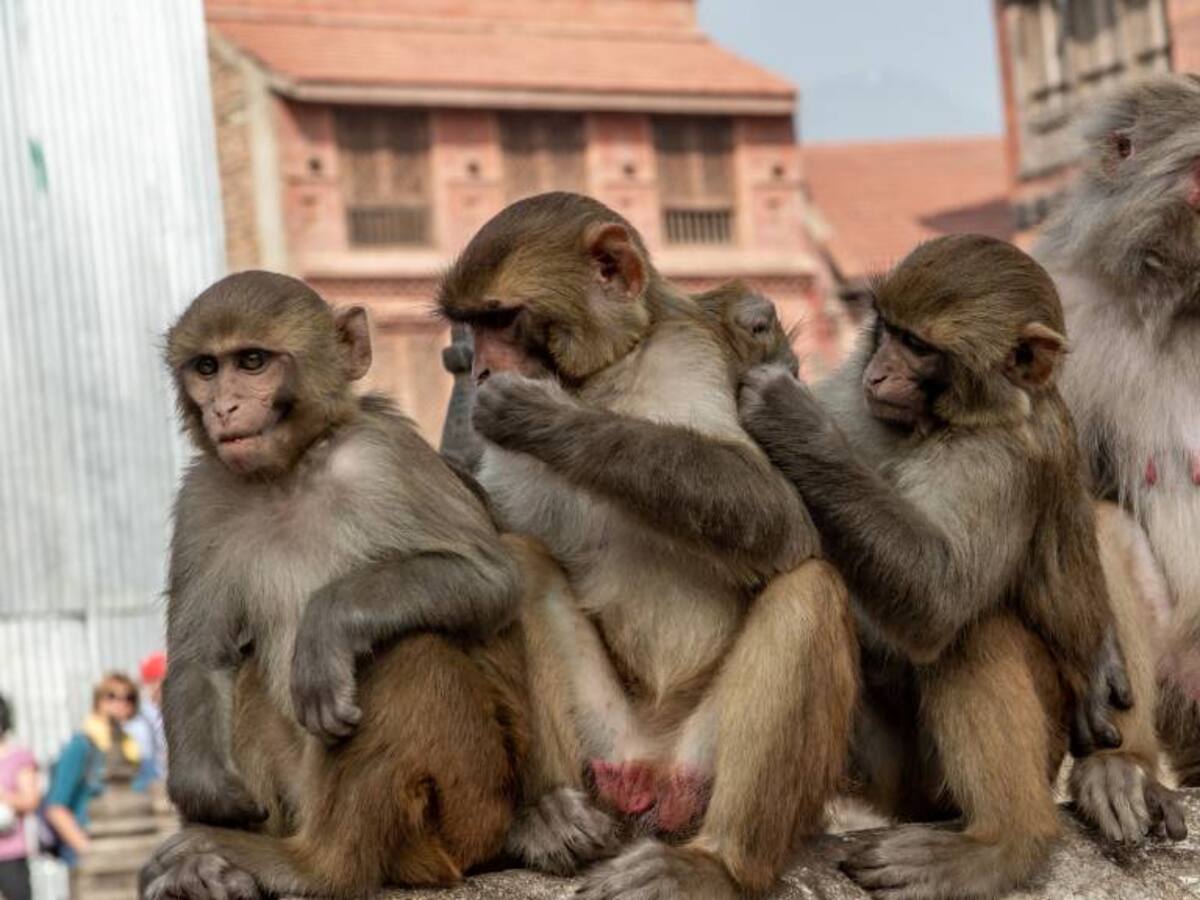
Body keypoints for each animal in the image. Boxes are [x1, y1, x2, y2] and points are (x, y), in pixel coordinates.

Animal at [138, 271, 525, 900]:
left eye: (252, 361)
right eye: (207, 368)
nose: (224, 407)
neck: (291, 471)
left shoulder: (385, 456)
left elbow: (489, 580)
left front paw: (326, 625)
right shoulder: (204, 495)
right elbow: (203, 656)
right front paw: (203, 790)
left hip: (469, 817)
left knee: (409, 649)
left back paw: (314, 867)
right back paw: (211, 869)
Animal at [436, 192, 859, 899]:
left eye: (503, 319)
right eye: (471, 325)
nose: (484, 369)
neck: (605, 374)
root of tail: (652, 772)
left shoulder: (685, 353)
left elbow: (776, 515)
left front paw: (548, 419)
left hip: (703, 764)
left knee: (809, 590)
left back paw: (717, 862)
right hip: (605, 747)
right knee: (520, 561)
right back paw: (551, 815)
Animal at [738, 235, 1185, 900]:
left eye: (920, 347)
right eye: (889, 330)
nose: (878, 372)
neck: (948, 421)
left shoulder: (998, 461)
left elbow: (938, 597)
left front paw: (792, 419)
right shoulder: (857, 402)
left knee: (974, 629)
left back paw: (1007, 840)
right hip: (896, 777)